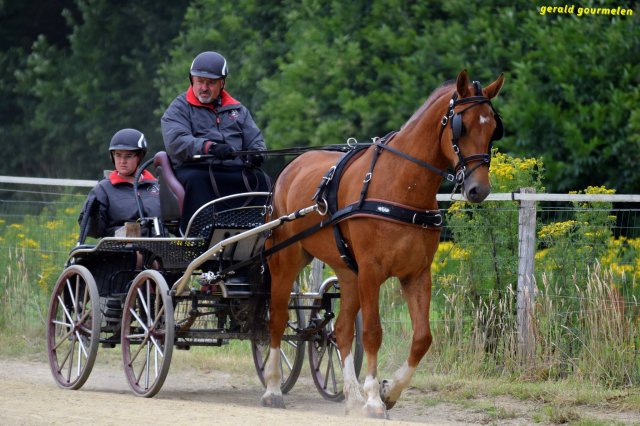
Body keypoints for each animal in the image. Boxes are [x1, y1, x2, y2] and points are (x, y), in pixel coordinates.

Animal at [260, 69, 505, 418]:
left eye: (493, 128)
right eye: (463, 126)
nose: (478, 189)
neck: (401, 185)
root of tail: (289, 169)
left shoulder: (416, 274)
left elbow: (422, 337)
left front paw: (389, 391)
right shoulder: (372, 272)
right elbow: (374, 332)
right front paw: (375, 398)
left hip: (347, 273)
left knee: (341, 329)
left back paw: (350, 396)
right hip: (286, 261)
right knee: (278, 321)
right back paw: (272, 388)